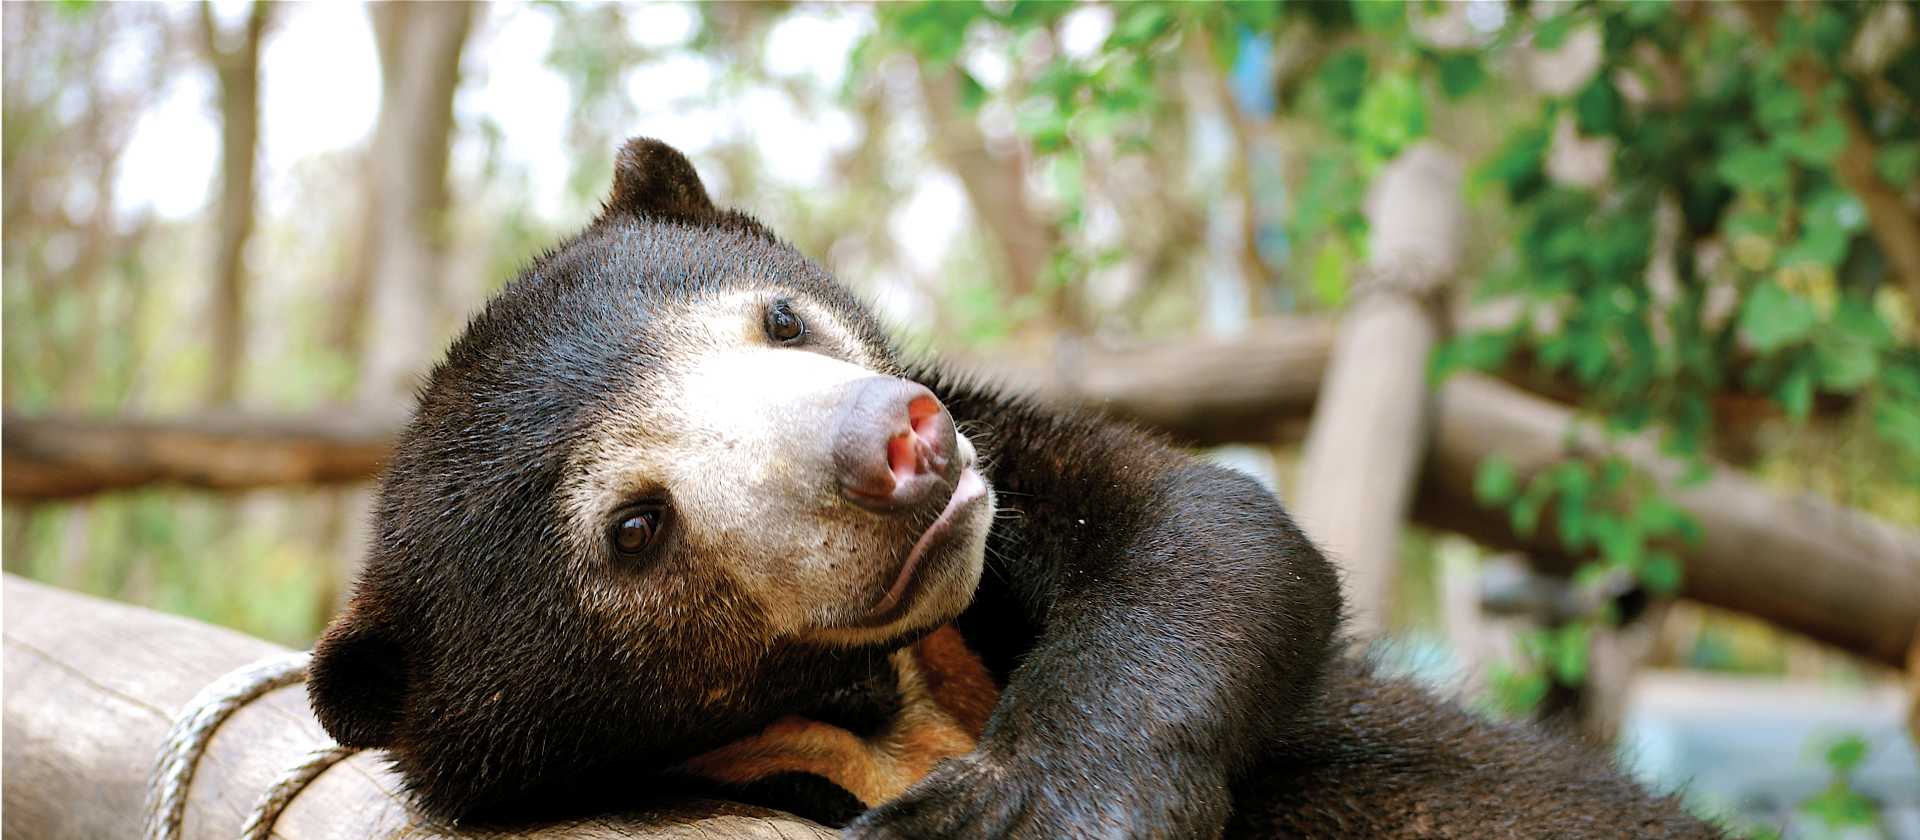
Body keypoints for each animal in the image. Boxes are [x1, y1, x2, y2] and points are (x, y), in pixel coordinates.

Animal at [308, 137, 1723, 839]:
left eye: (781, 322)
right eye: (636, 527)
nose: (900, 446)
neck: (899, 695)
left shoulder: (1026, 476)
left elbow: (1212, 536)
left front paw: (1031, 808)